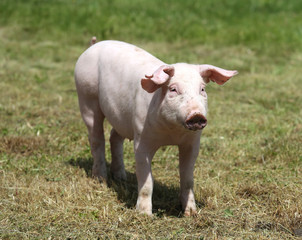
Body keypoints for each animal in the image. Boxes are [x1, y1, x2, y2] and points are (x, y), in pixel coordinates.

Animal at [74, 39, 237, 216]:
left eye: (202, 89)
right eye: (173, 89)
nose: (196, 115)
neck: (172, 133)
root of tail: (93, 46)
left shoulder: (192, 143)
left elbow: (188, 179)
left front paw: (191, 213)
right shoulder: (141, 140)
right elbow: (146, 181)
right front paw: (144, 214)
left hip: (120, 116)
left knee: (114, 136)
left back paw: (121, 177)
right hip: (86, 97)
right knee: (96, 139)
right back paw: (100, 179)